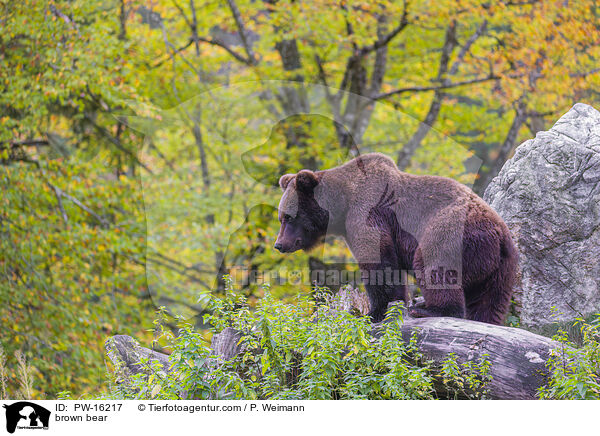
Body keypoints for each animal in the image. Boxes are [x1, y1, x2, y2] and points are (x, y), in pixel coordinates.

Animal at [274, 153, 516, 324]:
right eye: (281, 217)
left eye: (289, 216)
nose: (279, 244)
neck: (342, 205)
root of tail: (499, 234)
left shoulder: (367, 212)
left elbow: (379, 261)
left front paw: (373, 312)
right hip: (501, 268)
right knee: (489, 302)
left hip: (454, 234)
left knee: (434, 266)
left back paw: (427, 309)